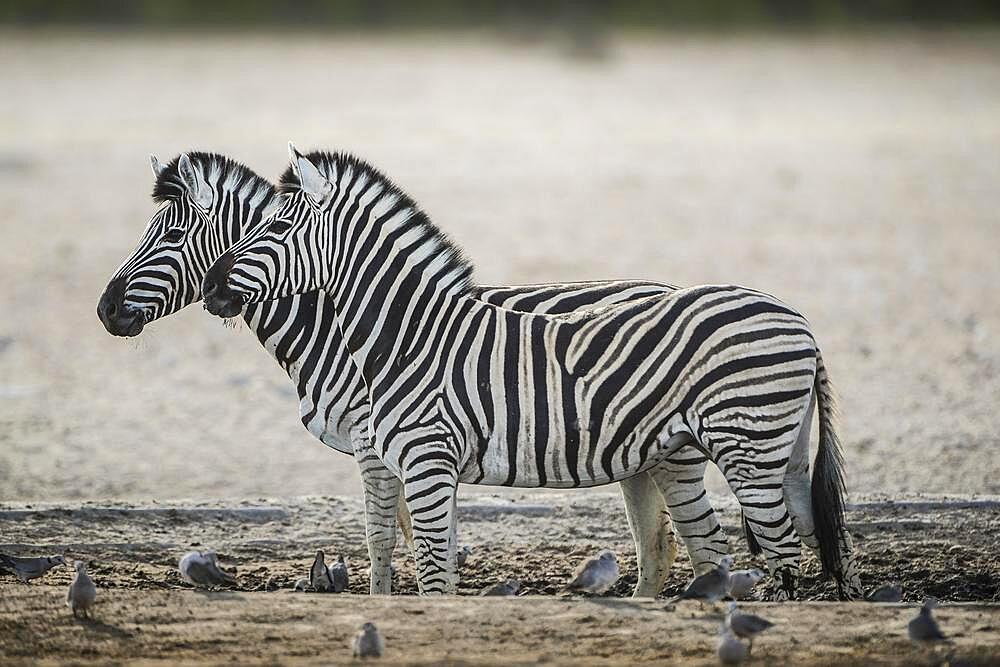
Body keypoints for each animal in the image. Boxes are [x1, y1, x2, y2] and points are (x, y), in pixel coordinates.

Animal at [97, 154, 732, 596]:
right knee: (659, 544)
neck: (332, 320)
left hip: (668, 453)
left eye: (172, 234)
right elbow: (407, 531)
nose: (104, 310)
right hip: (638, 458)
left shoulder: (374, 439)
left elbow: (387, 534)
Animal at [203, 146, 868, 600]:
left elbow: (432, 573)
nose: (212, 290)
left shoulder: (426, 460)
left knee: (780, 550)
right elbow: (422, 559)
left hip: (746, 444)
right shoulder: (415, 465)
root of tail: (800, 322)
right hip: (778, 452)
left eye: (276, 227)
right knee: (821, 537)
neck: (407, 336)